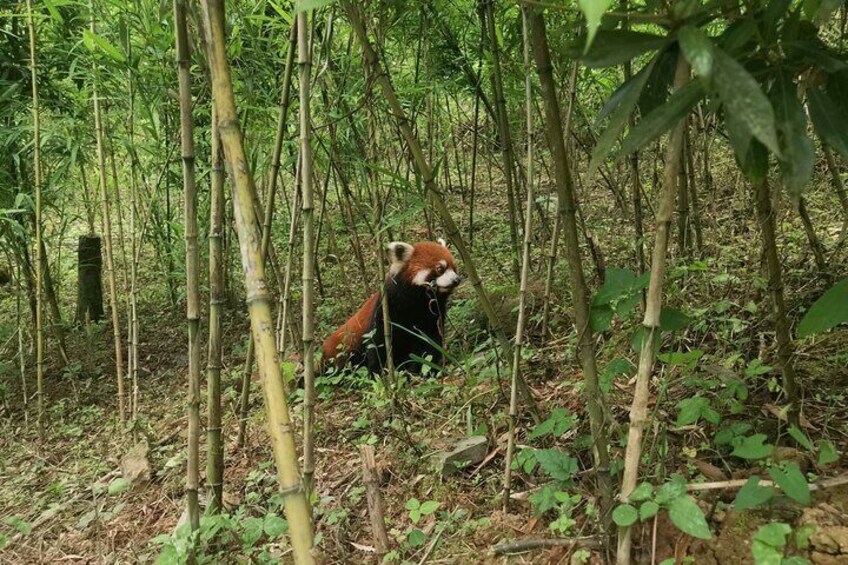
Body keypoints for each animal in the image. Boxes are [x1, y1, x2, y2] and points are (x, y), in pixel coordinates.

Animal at [320, 239, 464, 374]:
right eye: (440, 269)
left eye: (454, 268)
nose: (456, 280)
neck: (418, 302)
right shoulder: (388, 307)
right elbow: (379, 342)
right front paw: (378, 372)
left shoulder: (431, 315)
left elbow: (430, 341)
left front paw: (426, 369)